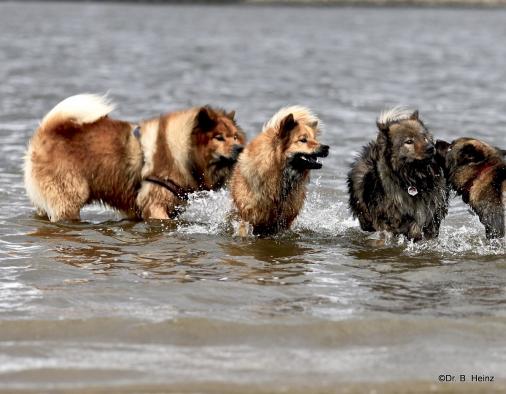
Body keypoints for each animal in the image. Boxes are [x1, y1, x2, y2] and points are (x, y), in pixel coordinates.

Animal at [24, 93, 245, 220]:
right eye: (219, 137)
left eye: (235, 136)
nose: (240, 148)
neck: (183, 151)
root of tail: (46, 131)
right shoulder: (155, 203)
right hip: (70, 197)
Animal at [346, 109, 448, 242]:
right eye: (409, 141)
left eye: (424, 137)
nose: (431, 148)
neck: (414, 179)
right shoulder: (387, 219)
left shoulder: (432, 214)